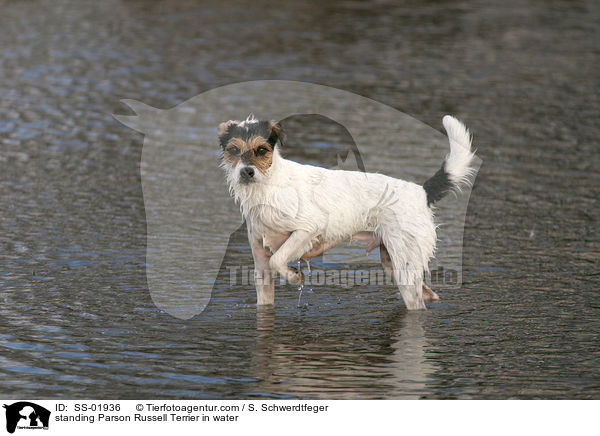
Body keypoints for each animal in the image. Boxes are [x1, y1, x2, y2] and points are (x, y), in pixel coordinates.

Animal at [218, 114, 476, 308]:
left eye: (261, 150)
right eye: (233, 150)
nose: (246, 172)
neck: (268, 186)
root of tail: (421, 192)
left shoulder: (308, 228)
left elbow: (279, 259)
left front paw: (294, 275)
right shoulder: (261, 265)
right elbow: (267, 284)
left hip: (405, 267)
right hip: (392, 263)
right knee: (429, 295)